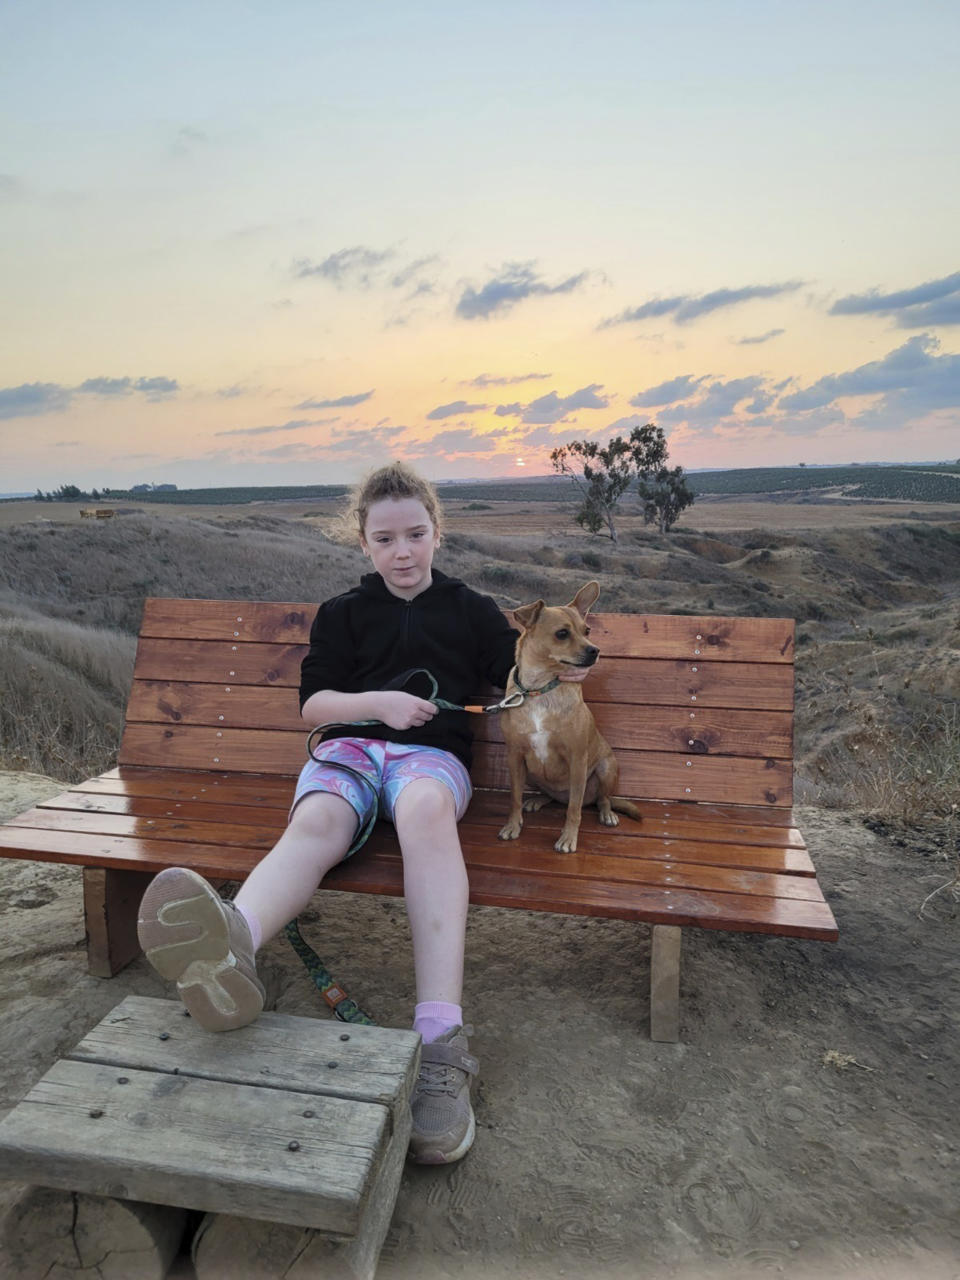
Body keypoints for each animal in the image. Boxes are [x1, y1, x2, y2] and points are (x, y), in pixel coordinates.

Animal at [499, 586, 642, 855]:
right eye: (562, 633)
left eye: (587, 631)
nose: (595, 650)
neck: (540, 689)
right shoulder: (515, 756)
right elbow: (514, 798)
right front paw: (513, 825)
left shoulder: (577, 760)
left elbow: (573, 810)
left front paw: (568, 838)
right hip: (532, 773)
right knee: (555, 797)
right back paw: (538, 800)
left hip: (606, 769)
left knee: (600, 800)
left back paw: (607, 814)